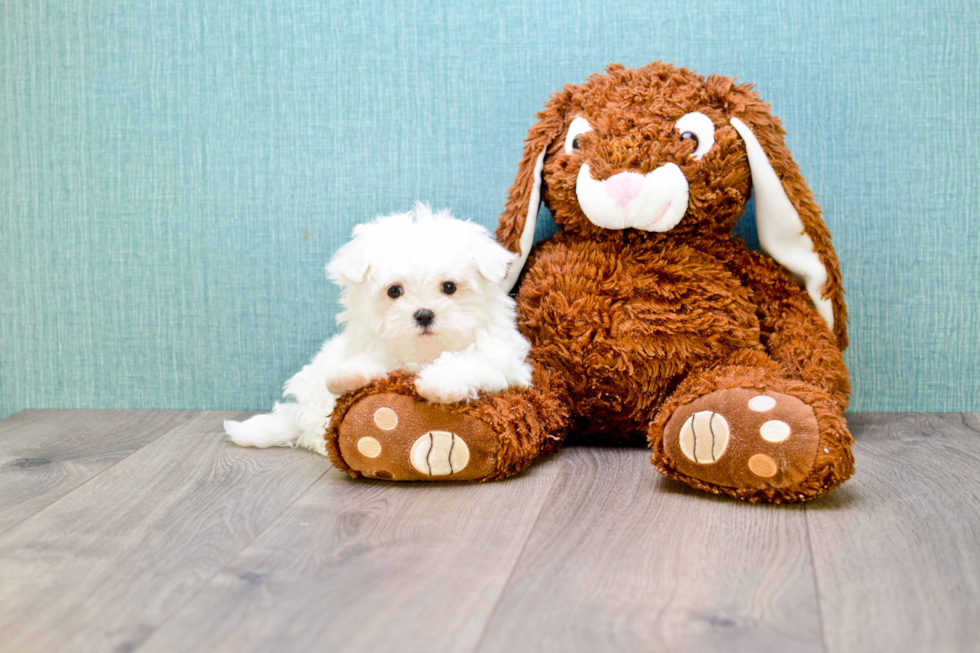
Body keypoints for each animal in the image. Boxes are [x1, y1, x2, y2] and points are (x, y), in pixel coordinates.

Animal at [223, 204, 532, 454]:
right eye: (394, 291)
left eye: (449, 287)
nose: (423, 314)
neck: (422, 353)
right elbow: (349, 373)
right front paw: (354, 374)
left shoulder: (507, 364)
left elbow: (471, 362)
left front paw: (440, 382)